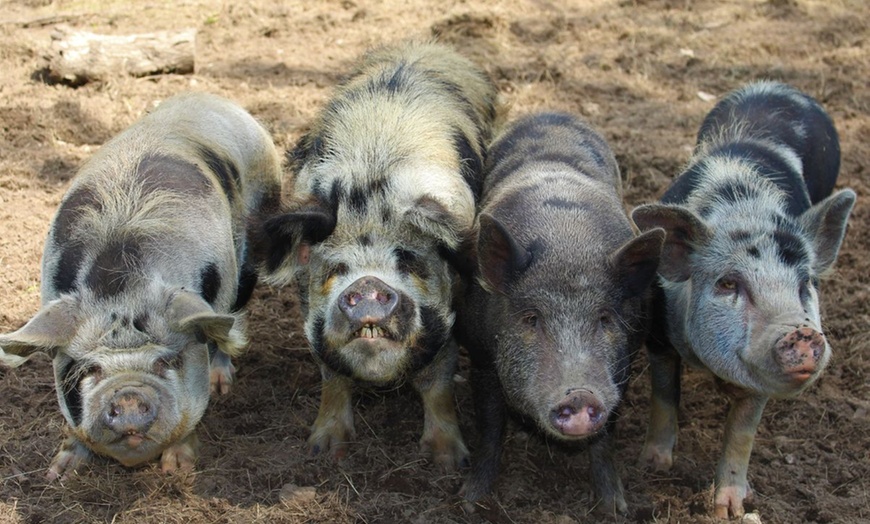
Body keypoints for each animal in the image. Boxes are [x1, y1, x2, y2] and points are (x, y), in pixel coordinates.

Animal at [0, 92, 282, 476]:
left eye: (166, 362)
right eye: (90, 369)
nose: (130, 396)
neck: (121, 291)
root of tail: (213, 99)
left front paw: (177, 469)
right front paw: (61, 472)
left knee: (232, 323)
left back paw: (221, 382)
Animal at [249, 42, 500, 466]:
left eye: (408, 259)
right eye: (336, 267)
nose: (367, 284)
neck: (370, 193)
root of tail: (424, 48)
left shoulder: (451, 306)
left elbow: (438, 379)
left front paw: (449, 461)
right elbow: (332, 376)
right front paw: (323, 451)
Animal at [456, 112, 668, 512]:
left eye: (604, 317)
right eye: (531, 318)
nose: (580, 394)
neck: (566, 245)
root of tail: (554, 114)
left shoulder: (623, 365)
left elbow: (606, 437)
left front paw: (616, 508)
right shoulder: (481, 355)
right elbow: (490, 427)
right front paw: (468, 500)